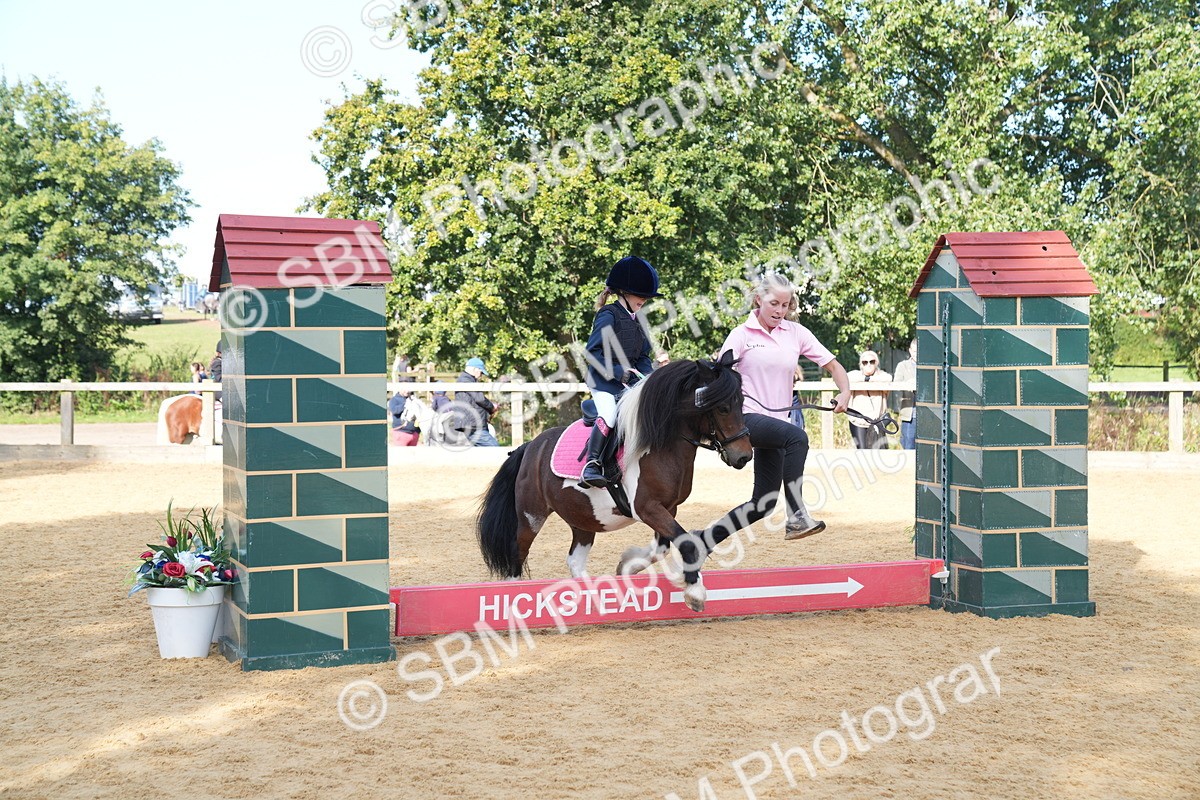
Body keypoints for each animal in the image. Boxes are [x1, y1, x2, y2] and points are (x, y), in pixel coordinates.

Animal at [476, 353, 754, 612]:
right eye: (722, 408)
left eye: (741, 402)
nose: (744, 456)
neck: (662, 444)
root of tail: (531, 446)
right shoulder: (647, 508)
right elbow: (685, 542)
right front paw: (695, 592)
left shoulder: (668, 508)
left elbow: (662, 548)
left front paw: (630, 566)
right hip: (531, 517)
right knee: (517, 555)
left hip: (583, 517)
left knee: (575, 560)